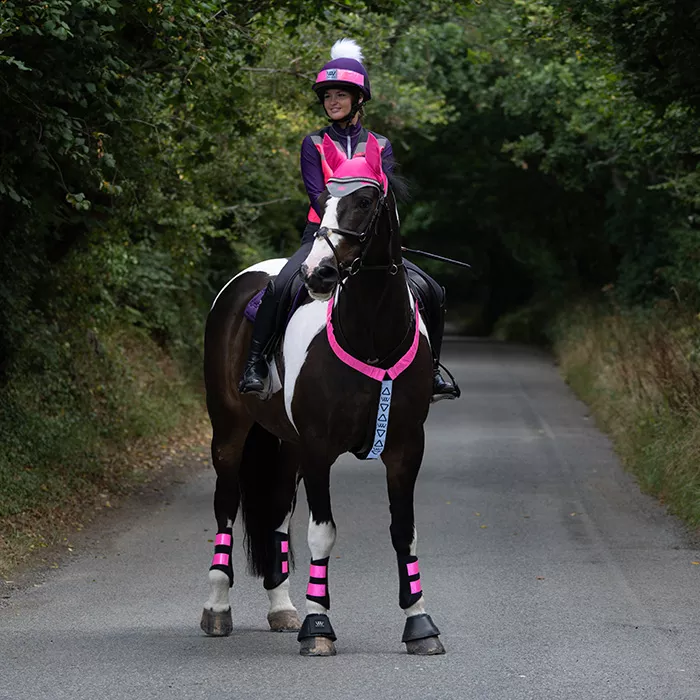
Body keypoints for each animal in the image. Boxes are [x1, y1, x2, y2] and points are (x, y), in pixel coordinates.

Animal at [200, 133, 446, 656]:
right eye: (325, 197)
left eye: (366, 200)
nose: (319, 273)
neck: (370, 337)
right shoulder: (318, 448)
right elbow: (322, 535)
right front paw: (319, 626)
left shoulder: (405, 448)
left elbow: (404, 531)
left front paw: (420, 624)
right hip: (230, 430)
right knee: (226, 507)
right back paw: (218, 608)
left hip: (287, 445)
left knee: (275, 510)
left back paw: (281, 607)